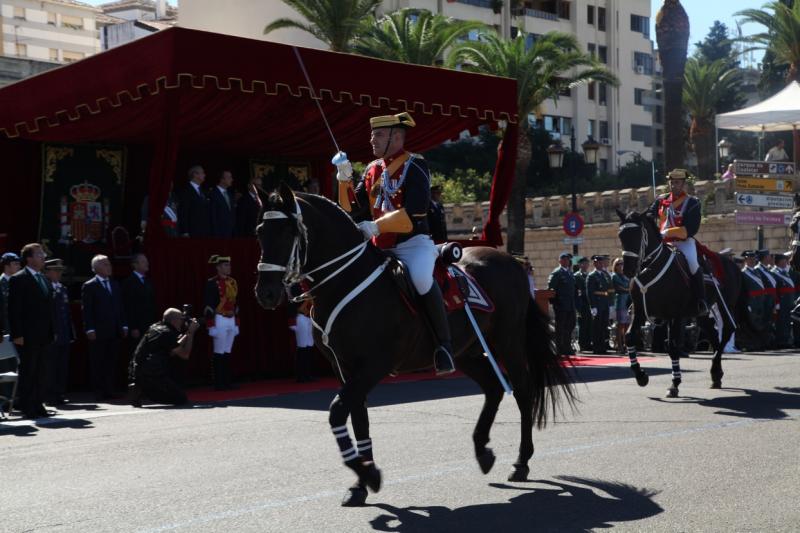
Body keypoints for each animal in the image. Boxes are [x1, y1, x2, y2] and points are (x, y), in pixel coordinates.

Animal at [256, 185, 576, 504]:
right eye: (259, 231)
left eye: (287, 231)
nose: (265, 293)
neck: (345, 282)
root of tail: (509, 259)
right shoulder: (345, 368)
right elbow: (358, 416)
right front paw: (361, 481)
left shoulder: (373, 365)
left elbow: (338, 411)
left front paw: (367, 473)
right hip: (467, 352)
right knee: (494, 388)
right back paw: (482, 450)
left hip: (507, 341)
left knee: (522, 391)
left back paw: (521, 462)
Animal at [620, 210, 744, 396]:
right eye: (621, 235)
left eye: (636, 235)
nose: (628, 269)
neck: (650, 268)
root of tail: (731, 263)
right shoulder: (639, 311)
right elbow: (629, 337)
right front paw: (641, 376)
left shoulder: (675, 315)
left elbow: (672, 347)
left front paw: (674, 384)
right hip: (701, 313)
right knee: (714, 335)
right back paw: (716, 374)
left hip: (725, 305)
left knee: (727, 330)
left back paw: (716, 370)